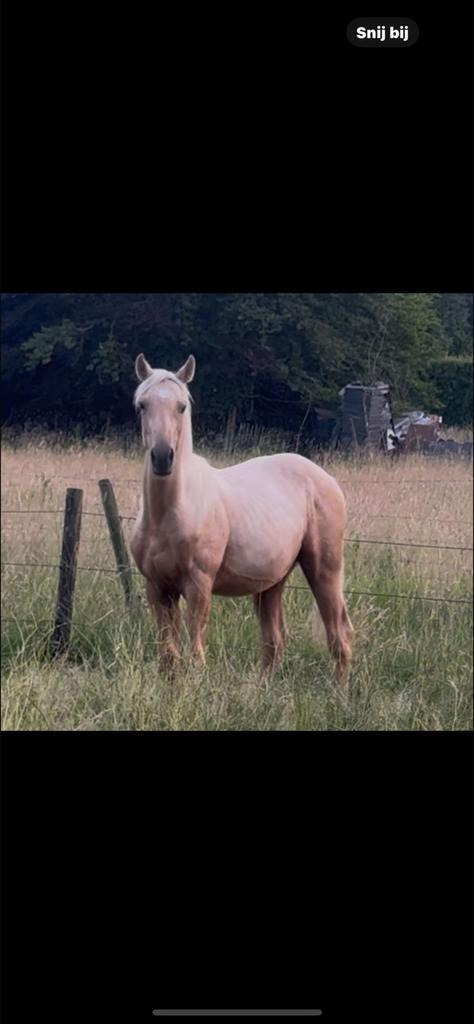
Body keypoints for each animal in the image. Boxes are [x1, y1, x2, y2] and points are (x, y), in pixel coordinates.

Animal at [130, 353, 354, 686]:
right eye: (142, 405)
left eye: (181, 406)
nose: (162, 457)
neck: (170, 514)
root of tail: (328, 480)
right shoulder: (158, 588)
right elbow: (168, 657)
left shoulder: (198, 586)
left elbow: (196, 653)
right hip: (271, 584)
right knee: (274, 641)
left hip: (324, 570)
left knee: (339, 637)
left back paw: (338, 693)